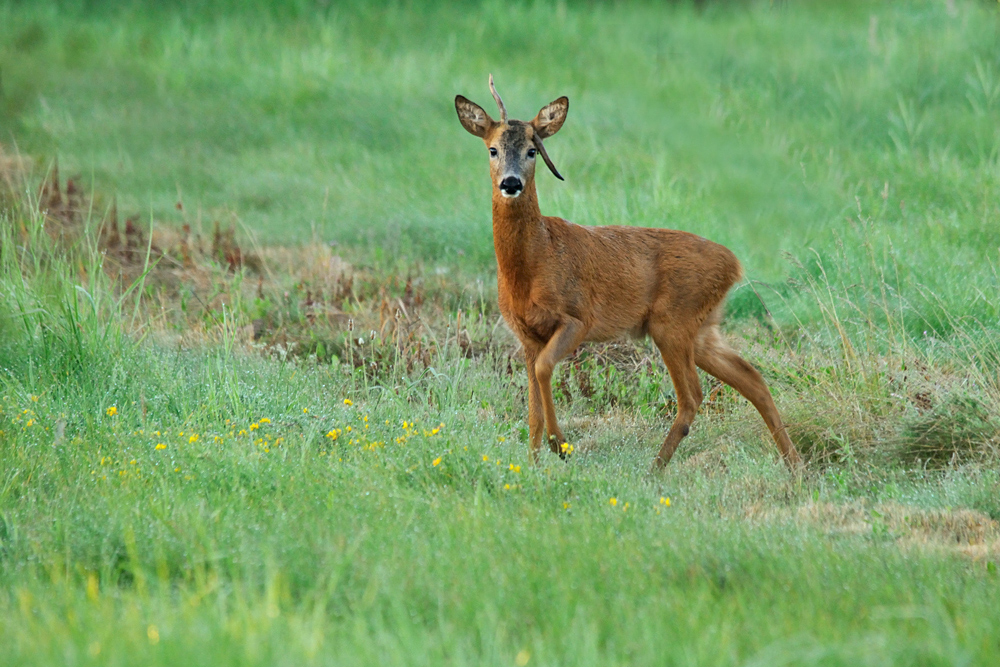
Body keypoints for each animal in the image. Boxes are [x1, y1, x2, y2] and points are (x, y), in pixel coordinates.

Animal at [458, 77, 800, 474]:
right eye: (493, 149)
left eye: (532, 151)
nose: (511, 183)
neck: (533, 265)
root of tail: (734, 264)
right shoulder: (526, 334)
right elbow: (532, 407)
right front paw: (533, 464)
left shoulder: (578, 318)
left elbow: (544, 371)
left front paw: (561, 445)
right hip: (701, 328)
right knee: (751, 377)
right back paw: (795, 466)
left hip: (672, 321)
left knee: (693, 395)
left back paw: (655, 469)